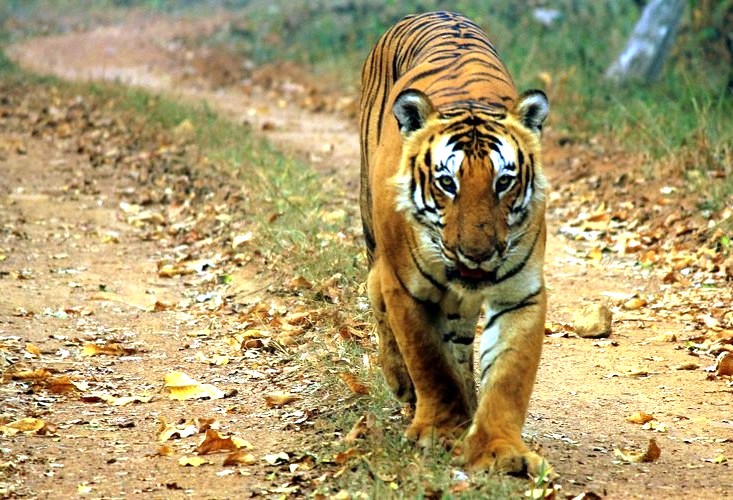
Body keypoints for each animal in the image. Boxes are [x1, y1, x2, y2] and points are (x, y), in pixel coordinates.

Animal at [359, 11, 550, 476]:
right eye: (447, 183)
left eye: (504, 182)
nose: (477, 255)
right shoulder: (406, 288)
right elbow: (429, 361)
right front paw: (439, 431)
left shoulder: (521, 293)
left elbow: (509, 374)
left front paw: (499, 448)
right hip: (373, 236)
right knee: (374, 295)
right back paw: (403, 385)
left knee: (461, 344)